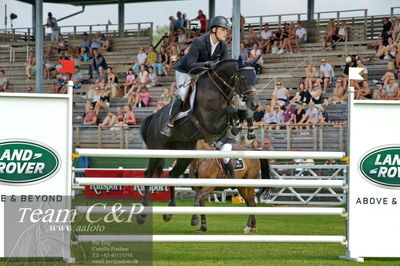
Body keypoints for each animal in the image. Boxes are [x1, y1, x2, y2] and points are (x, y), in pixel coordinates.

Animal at [140, 59, 260, 223]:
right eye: (243, 78)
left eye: (255, 77)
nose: (255, 104)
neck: (218, 89)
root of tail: (153, 118)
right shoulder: (210, 122)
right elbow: (231, 110)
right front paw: (235, 127)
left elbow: (243, 112)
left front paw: (248, 133)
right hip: (157, 151)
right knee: (148, 174)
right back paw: (143, 212)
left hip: (185, 155)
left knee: (172, 175)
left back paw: (170, 210)